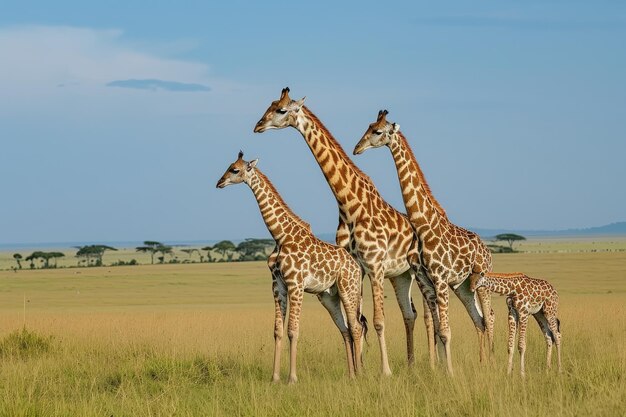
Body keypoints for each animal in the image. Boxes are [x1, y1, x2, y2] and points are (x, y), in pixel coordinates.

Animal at [214, 151, 364, 382]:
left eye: (235, 169)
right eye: (229, 166)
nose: (219, 182)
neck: (281, 235)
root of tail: (356, 267)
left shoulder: (296, 284)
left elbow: (293, 330)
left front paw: (292, 378)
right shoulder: (278, 286)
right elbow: (278, 331)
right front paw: (275, 377)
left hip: (349, 289)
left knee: (356, 327)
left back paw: (360, 375)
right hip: (329, 296)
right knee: (345, 329)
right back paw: (351, 375)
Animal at [251, 88, 436, 374]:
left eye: (281, 110)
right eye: (269, 106)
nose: (258, 125)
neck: (349, 205)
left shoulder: (374, 265)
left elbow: (377, 320)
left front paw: (383, 372)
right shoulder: (355, 267)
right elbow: (356, 321)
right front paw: (360, 371)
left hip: (417, 272)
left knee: (428, 313)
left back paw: (430, 365)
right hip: (401, 275)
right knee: (410, 313)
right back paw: (411, 364)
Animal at [354, 110, 494, 374]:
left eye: (377, 131)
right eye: (367, 126)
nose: (357, 148)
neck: (423, 226)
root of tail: (488, 251)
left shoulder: (439, 279)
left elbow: (446, 331)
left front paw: (449, 372)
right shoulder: (428, 282)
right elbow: (439, 329)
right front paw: (439, 369)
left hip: (482, 280)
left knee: (489, 317)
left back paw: (494, 361)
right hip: (463, 286)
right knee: (479, 319)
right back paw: (483, 364)